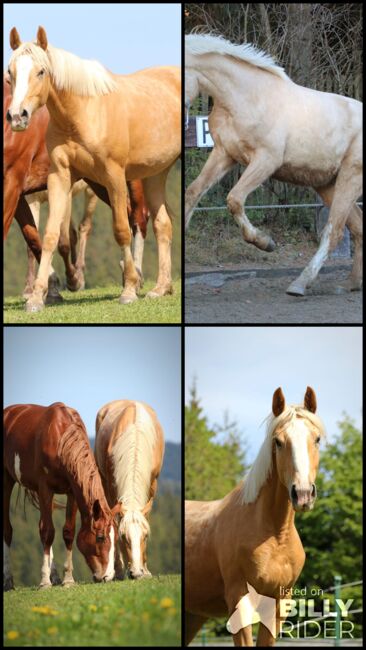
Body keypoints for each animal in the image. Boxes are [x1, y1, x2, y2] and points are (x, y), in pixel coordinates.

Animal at [3, 400, 118, 588]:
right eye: (100, 537)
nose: (108, 576)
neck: (61, 439)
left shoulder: (72, 491)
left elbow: (68, 532)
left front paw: (68, 579)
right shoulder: (45, 489)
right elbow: (48, 531)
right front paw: (44, 581)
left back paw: (55, 576)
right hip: (6, 481)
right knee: (8, 530)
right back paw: (8, 581)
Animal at [6, 24, 181, 308]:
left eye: (41, 71)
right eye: (10, 72)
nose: (17, 116)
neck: (83, 113)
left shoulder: (114, 177)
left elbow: (121, 230)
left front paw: (128, 289)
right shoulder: (59, 178)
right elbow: (49, 235)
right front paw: (37, 296)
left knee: (141, 221)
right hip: (155, 174)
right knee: (162, 224)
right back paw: (161, 287)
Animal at [94, 400, 164, 576]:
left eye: (145, 536)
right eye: (124, 537)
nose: (136, 573)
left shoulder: (153, 483)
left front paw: (145, 570)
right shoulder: (112, 485)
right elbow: (114, 521)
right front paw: (119, 570)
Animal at [184, 34, 362, 296]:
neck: (247, 97)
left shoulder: (266, 160)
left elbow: (234, 199)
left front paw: (265, 242)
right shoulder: (224, 154)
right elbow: (192, 193)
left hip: (351, 178)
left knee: (334, 231)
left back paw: (300, 284)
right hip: (328, 184)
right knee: (358, 228)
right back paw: (351, 283)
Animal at [184, 384, 324, 644]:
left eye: (317, 439)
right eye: (278, 441)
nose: (302, 494)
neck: (275, 535)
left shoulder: (278, 606)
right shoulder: (239, 601)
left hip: (193, 615)